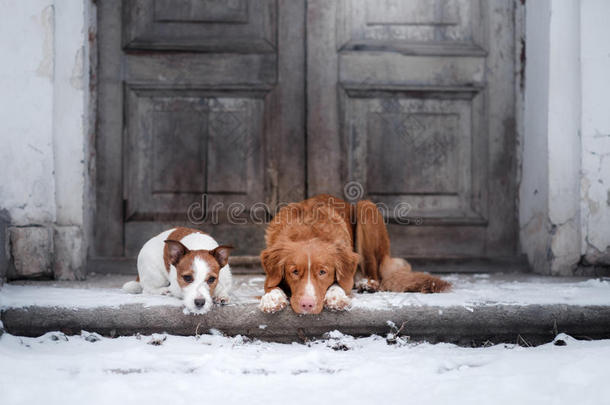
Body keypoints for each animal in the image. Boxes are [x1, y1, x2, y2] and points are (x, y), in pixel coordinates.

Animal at [258, 194, 448, 314]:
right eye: (294, 272)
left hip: (366, 208)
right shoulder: (271, 276)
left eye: (323, 272)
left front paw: (335, 298)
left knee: (373, 270)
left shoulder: (345, 275)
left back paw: (367, 283)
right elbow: (272, 286)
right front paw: (272, 300)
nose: (307, 305)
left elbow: (340, 283)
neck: (309, 231)